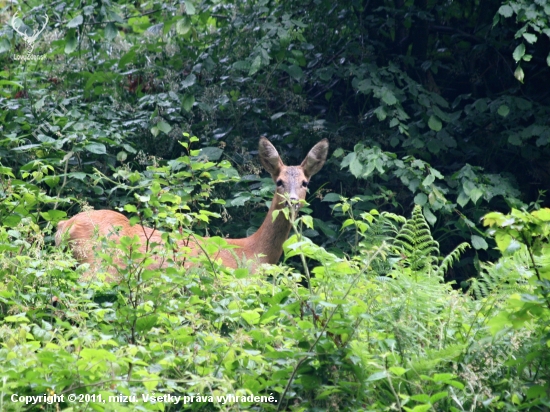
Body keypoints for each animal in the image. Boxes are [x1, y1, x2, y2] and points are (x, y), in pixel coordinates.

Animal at [56, 138, 330, 280]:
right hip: (96, 264)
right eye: (279, 181)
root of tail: (63, 226)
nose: (293, 200)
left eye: (305, 183)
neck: (254, 252)